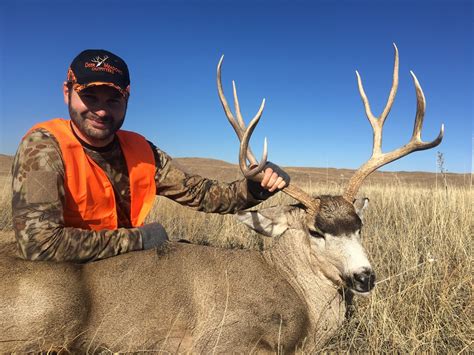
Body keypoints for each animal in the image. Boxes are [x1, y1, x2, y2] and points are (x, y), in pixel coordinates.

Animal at [0, 45, 444, 355]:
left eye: (359, 224)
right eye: (316, 231)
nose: (364, 277)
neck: (294, 290)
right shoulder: (221, 337)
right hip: (47, 319)